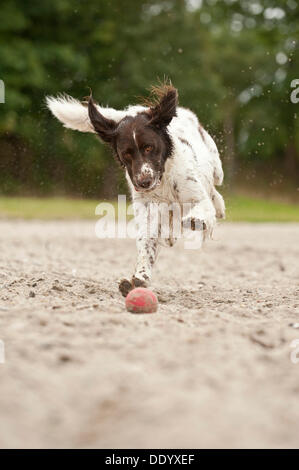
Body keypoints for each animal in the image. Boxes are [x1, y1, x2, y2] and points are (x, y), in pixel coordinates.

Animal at [47, 84, 225, 296]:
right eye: (127, 154)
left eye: (149, 147)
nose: (144, 182)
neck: (163, 180)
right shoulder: (148, 213)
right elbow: (146, 246)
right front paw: (139, 277)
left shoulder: (196, 196)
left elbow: (204, 207)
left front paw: (198, 219)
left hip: (217, 169)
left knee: (214, 187)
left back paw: (217, 207)